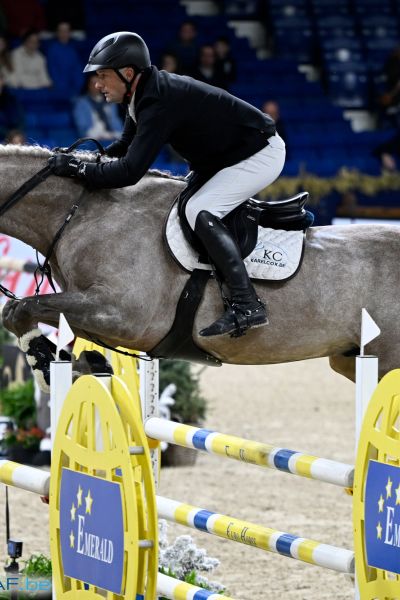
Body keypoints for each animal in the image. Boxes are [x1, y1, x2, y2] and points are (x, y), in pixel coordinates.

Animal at [0, 143, 398, 382]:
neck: (82, 213)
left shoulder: (119, 315)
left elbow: (22, 309)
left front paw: (46, 366)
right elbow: (19, 312)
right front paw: (77, 363)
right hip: (349, 359)